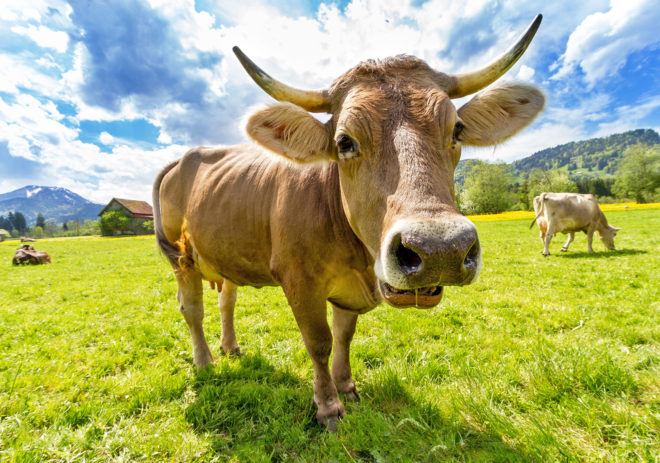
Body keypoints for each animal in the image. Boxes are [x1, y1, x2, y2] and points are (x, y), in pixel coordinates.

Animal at [153, 15, 545, 430]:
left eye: (457, 129)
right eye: (344, 141)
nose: (441, 249)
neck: (356, 257)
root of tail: (186, 156)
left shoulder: (347, 293)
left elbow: (344, 336)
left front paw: (347, 388)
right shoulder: (299, 281)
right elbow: (319, 342)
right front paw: (328, 406)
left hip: (225, 252)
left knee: (226, 299)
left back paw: (230, 347)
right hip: (181, 258)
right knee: (192, 309)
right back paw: (205, 361)